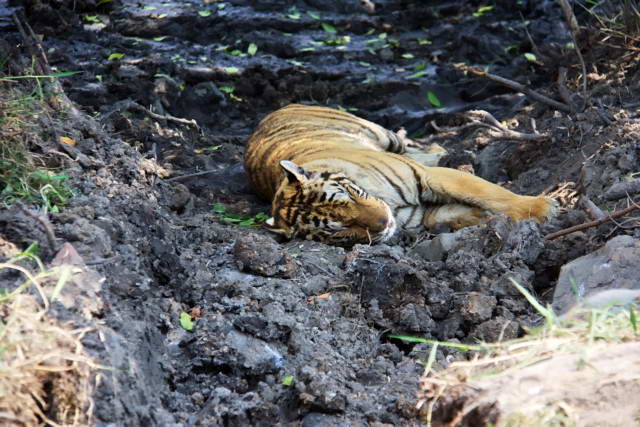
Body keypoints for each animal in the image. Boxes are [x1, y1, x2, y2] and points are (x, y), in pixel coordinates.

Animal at [245, 104, 556, 246]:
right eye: (339, 229)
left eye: (347, 196)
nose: (383, 222)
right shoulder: (421, 215)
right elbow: (452, 213)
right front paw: (484, 219)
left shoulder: (432, 177)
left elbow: (490, 192)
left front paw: (543, 208)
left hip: (383, 134)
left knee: (416, 146)